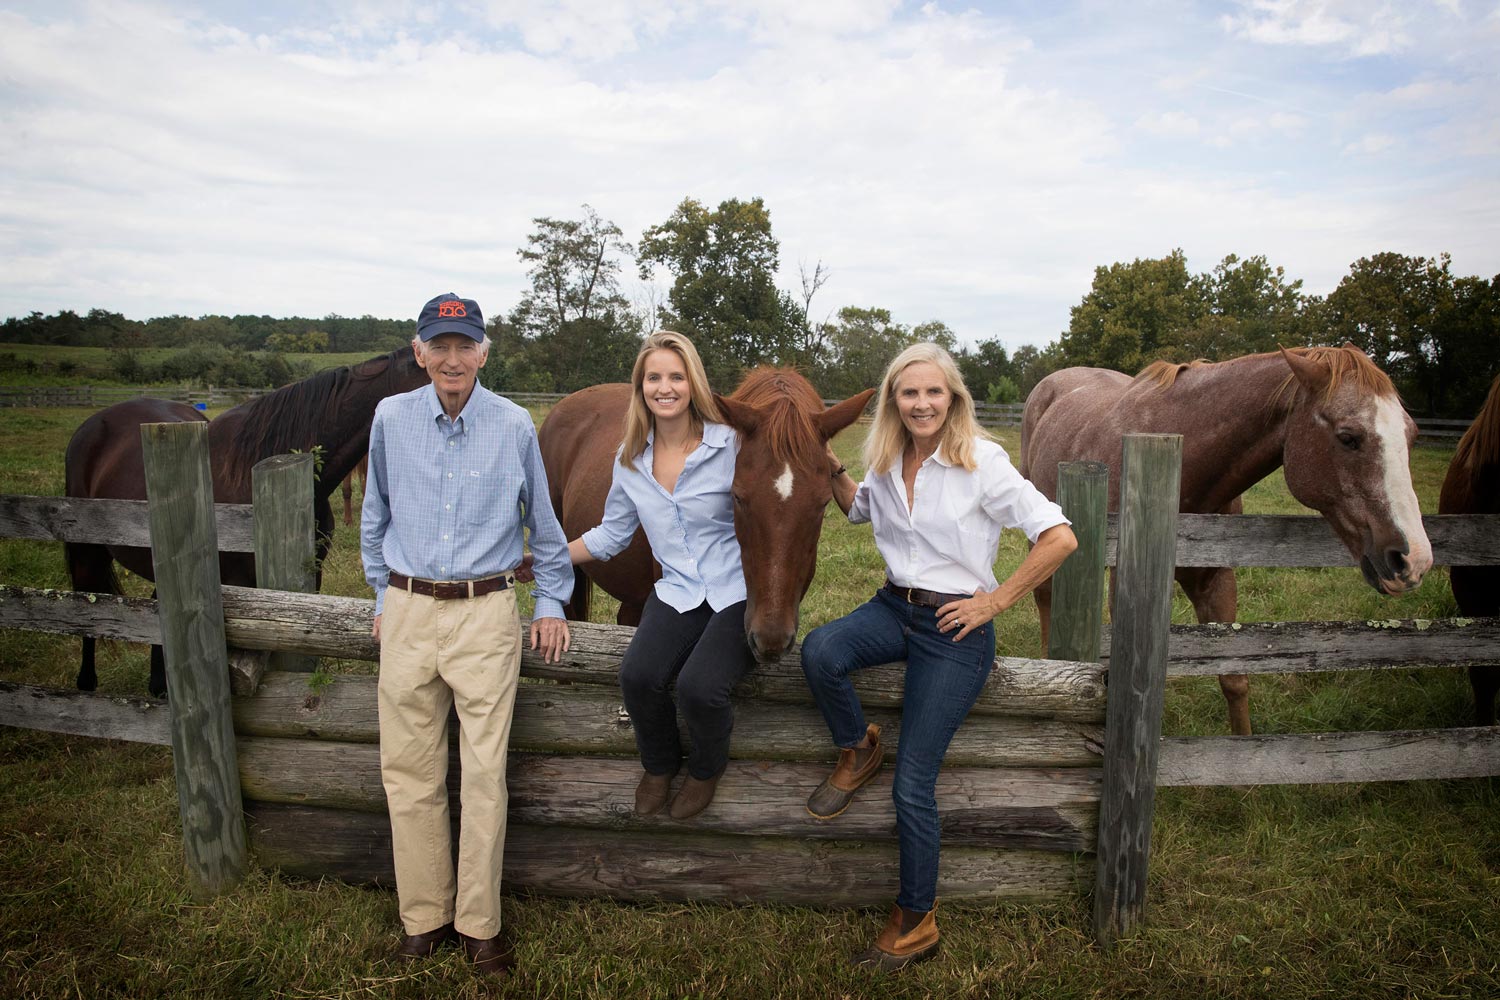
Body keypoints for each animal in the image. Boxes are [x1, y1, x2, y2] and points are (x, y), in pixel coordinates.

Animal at [1026, 346, 1434, 734]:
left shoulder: (1217, 580)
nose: (1413, 559)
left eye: (1412, 434)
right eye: (1348, 438)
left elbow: (1233, 678)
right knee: (1044, 597)